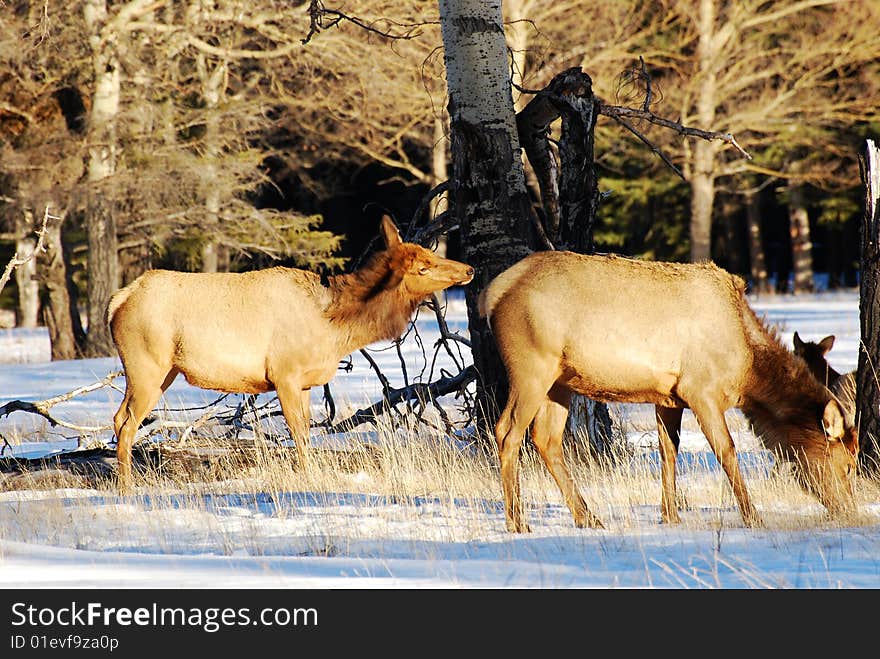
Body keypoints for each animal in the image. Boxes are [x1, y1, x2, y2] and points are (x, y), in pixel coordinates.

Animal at [108, 214, 474, 492]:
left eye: (431, 254)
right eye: (423, 267)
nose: (468, 269)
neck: (335, 330)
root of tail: (118, 299)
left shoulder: (307, 381)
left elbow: (308, 433)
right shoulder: (284, 374)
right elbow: (297, 432)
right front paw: (308, 478)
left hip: (164, 371)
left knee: (120, 418)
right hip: (146, 364)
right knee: (125, 422)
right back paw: (126, 488)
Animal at [482, 250, 860, 532]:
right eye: (847, 465)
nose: (849, 510)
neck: (747, 369)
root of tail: (492, 293)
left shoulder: (668, 396)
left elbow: (669, 449)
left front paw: (670, 515)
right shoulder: (701, 390)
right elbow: (727, 451)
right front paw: (753, 516)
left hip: (559, 382)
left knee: (546, 439)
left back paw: (587, 517)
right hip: (532, 367)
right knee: (507, 431)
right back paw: (518, 523)